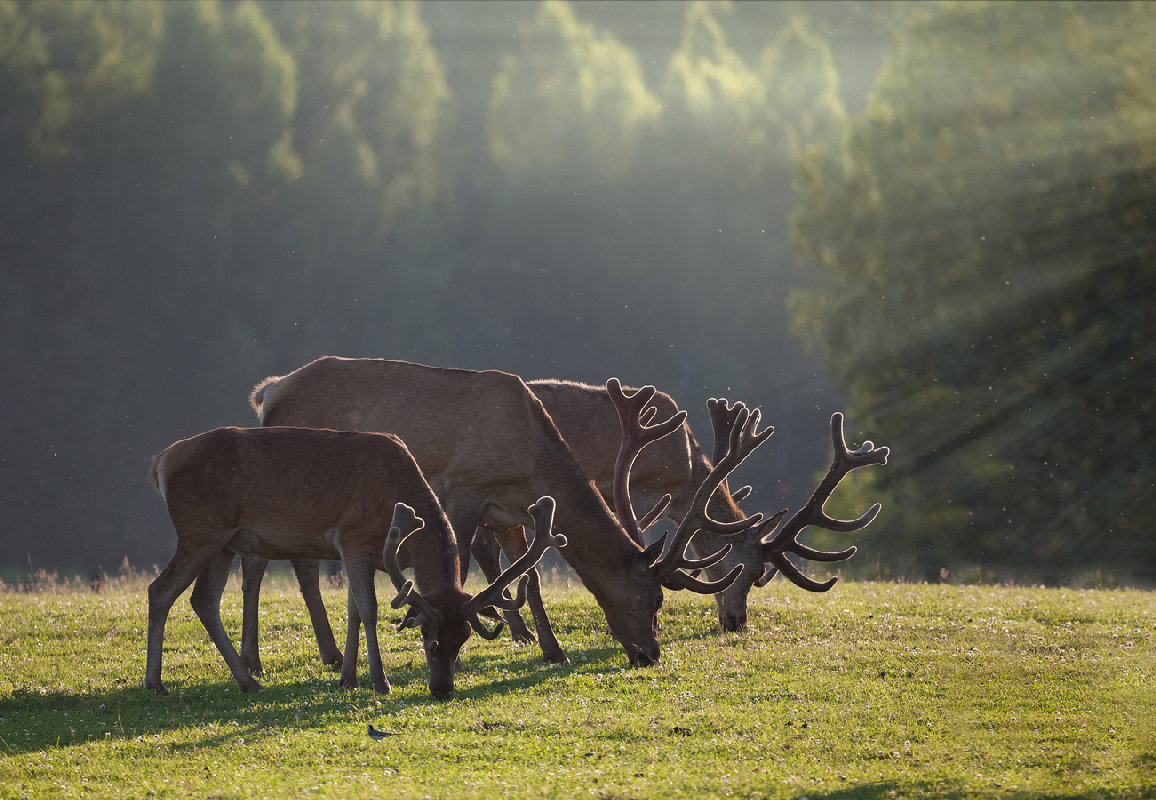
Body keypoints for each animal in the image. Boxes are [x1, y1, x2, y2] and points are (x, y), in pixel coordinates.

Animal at [145, 427, 564, 698]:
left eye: (462, 641)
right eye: (429, 642)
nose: (443, 690)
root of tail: (161, 462)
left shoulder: (356, 553)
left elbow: (353, 611)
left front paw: (347, 677)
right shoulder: (352, 538)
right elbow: (370, 609)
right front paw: (380, 682)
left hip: (224, 544)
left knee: (204, 600)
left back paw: (247, 681)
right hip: (199, 532)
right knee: (160, 590)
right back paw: (155, 682)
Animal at [243, 356, 767, 670]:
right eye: (654, 599)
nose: (650, 654)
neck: (530, 458)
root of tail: (267, 392)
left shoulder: (514, 512)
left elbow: (528, 577)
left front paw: (551, 648)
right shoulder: (462, 489)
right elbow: (461, 567)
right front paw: (450, 644)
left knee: (293, 564)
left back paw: (323, 654)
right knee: (270, 563)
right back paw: (274, 659)